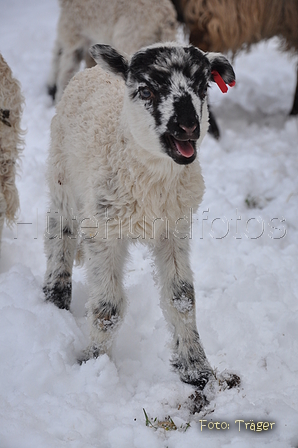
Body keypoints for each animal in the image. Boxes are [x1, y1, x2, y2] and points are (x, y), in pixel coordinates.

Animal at [43, 43, 237, 392]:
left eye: (204, 87)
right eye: (146, 90)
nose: (188, 125)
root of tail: (95, 69)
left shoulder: (174, 231)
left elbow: (182, 298)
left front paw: (196, 368)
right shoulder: (103, 232)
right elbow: (107, 308)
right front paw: (94, 362)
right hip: (62, 175)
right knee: (59, 232)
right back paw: (56, 294)